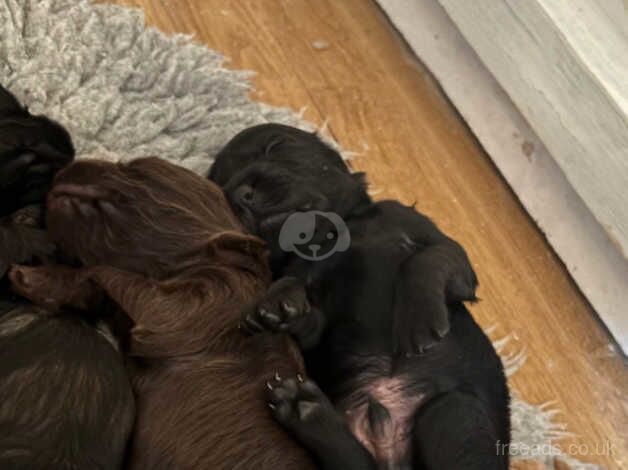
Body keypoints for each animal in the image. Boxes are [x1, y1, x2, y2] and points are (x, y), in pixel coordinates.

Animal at [209, 124, 508, 470]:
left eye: (275, 145)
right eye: (223, 188)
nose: (239, 194)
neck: (332, 238)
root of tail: (391, 448)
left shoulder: (440, 246)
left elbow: (428, 259)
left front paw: (419, 322)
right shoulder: (311, 295)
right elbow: (301, 301)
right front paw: (278, 306)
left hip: (452, 413)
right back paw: (307, 411)